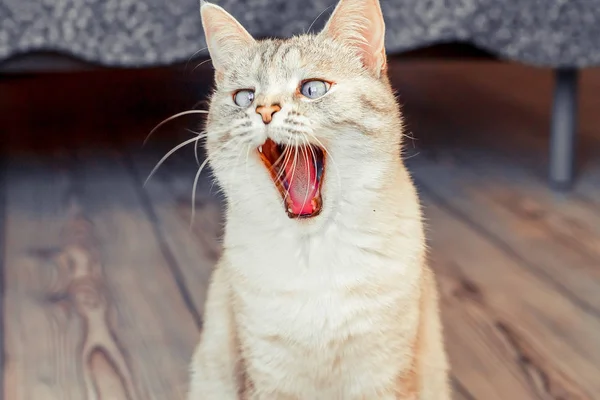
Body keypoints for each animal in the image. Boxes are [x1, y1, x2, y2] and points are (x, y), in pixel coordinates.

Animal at [188, 0, 450, 398]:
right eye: (244, 98)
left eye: (312, 89)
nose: (264, 111)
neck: (314, 250)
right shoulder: (268, 375)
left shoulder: (382, 375)